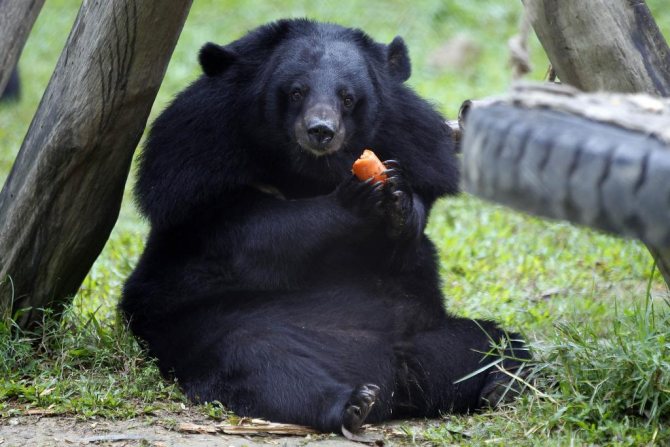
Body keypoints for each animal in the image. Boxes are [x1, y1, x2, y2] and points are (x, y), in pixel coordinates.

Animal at [121, 19, 532, 436]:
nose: (321, 131)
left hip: (431, 334)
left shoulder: (414, 143)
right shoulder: (196, 166)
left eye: (348, 97)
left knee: (495, 342)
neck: (310, 170)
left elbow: (408, 238)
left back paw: (503, 384)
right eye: (296, 92)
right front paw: (355, 198)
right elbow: (256, 234)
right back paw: (353, 402)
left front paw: (398, 197)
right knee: (264, 364)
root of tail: (394, 380)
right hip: (216, 329)